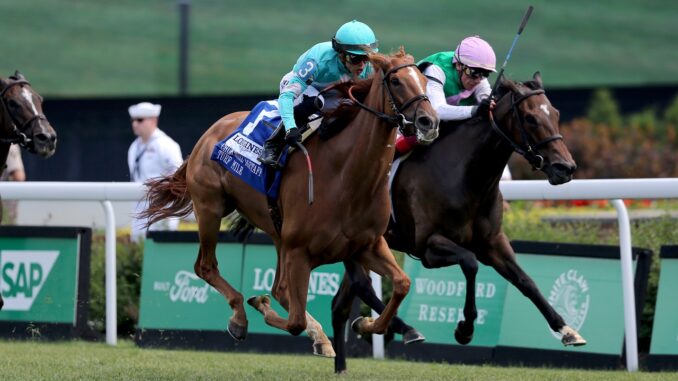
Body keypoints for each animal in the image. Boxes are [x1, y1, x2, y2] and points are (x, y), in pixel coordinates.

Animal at [142, 49, 440, 354]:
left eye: (424, 81)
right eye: (396, 81)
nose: (429, 122)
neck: (346, 175)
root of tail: (209, 133)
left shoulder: (367, 244)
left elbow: (402, 283)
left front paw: (366, 324)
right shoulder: (299, 251)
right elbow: (295, 320)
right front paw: (261, 307)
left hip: (276, 232)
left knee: (278, 287)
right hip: (210, 208)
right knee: (207, 266)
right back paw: (240, 318)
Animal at [332, 72, 588, 372]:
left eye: (556, 114)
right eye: (530, 118)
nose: (565, 168)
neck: (466, 176)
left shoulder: (493, 243)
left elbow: (525, 281)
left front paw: (566, 329)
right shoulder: (428, 247)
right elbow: (470, 262)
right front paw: (465, 329)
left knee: (341, 304)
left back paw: (348, 355)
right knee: (361, 283)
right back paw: (401, 328)